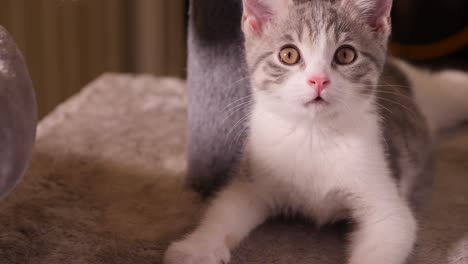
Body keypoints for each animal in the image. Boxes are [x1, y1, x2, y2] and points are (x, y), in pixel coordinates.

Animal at [165, 0, 468, 264]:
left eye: (346, 55)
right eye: (288, 54)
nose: (319, 80)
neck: (314, 133)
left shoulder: (386, 201)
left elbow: (393, 224)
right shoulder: (252, 182)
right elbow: (225, 209)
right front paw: (197, 247)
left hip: (429, 97)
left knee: (449, 85)